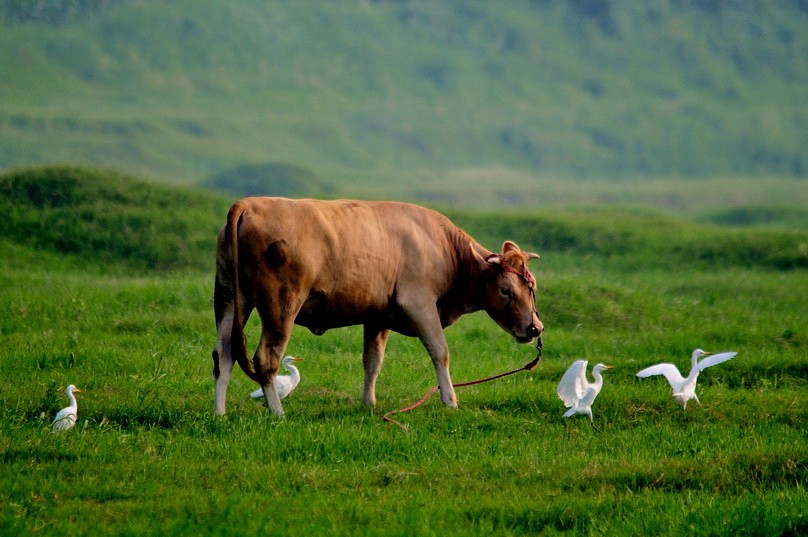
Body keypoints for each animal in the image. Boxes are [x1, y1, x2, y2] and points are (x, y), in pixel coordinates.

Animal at [213, 197, 544, 414]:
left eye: (532, 287)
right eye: (505, 290)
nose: (535, 328)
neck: (444, 246)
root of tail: (249, 204)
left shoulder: (377, 316)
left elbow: (372, 361)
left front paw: (368, 403)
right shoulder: (420, 304)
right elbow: (440, 352)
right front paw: (450, 400)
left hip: (229, 298)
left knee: (223, 355)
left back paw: (220, 413)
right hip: (281, 304)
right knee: (265, 358)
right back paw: (278, 414)